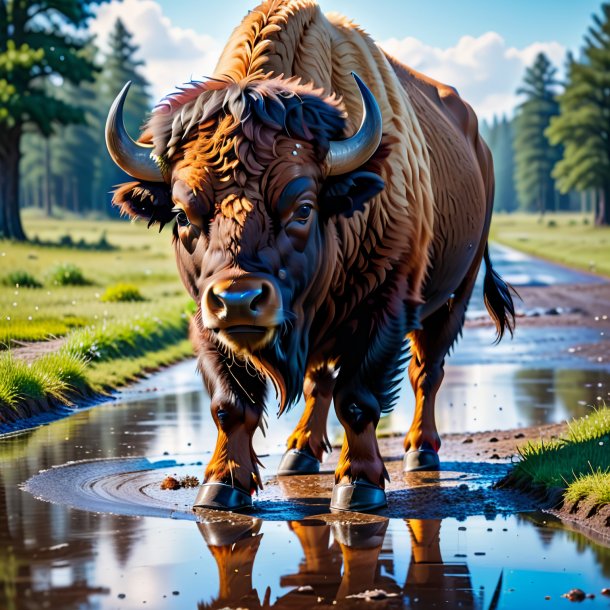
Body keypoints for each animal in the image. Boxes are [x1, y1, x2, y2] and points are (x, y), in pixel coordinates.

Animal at [104, 0, 512, 510]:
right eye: (181, 214)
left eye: (302, 208)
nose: (239, 300)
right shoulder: (206, 319)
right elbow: (232, 403)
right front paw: (221, 486)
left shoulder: (386, 306)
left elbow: (358, 398)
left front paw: (358, 485)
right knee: (321, 379)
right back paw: (298, 453)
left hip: (456, 292)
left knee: (426, 372)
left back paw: (421, 451)